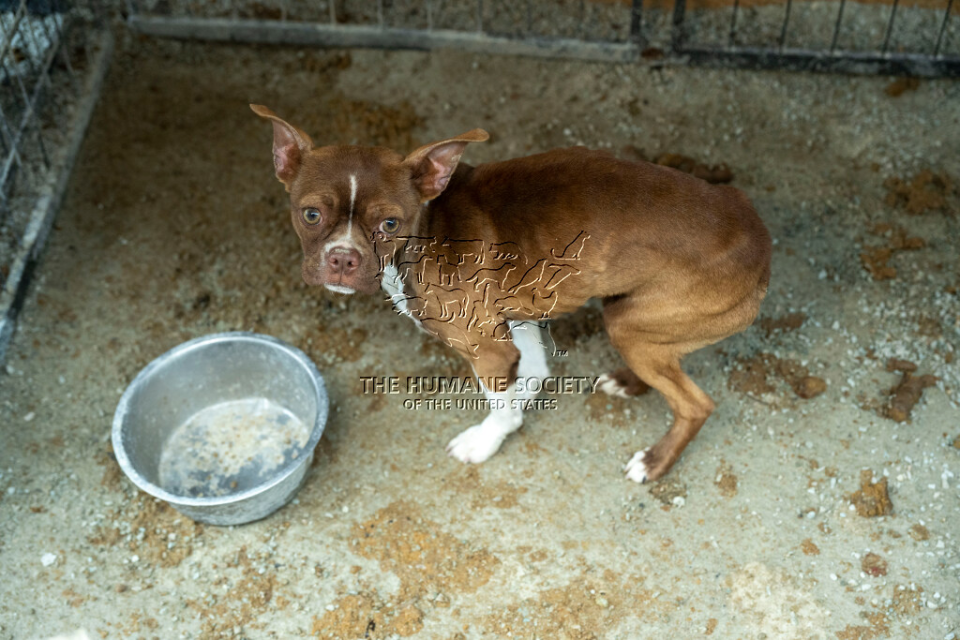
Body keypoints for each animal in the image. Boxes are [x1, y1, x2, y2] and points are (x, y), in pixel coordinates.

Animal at [251, 105, 768, 482]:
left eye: (390, 223)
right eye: (311, 214)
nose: (342, 258)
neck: (425, 228)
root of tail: (754, 229)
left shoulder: (487, 348)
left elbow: (502, 402)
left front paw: (487, 440)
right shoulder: (516, 318)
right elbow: (534, 373)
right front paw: (520, 404)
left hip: (631, 324)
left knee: (694, 404)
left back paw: (654, 462)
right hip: (637, 316)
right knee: (670, 365)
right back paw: (629, 382)